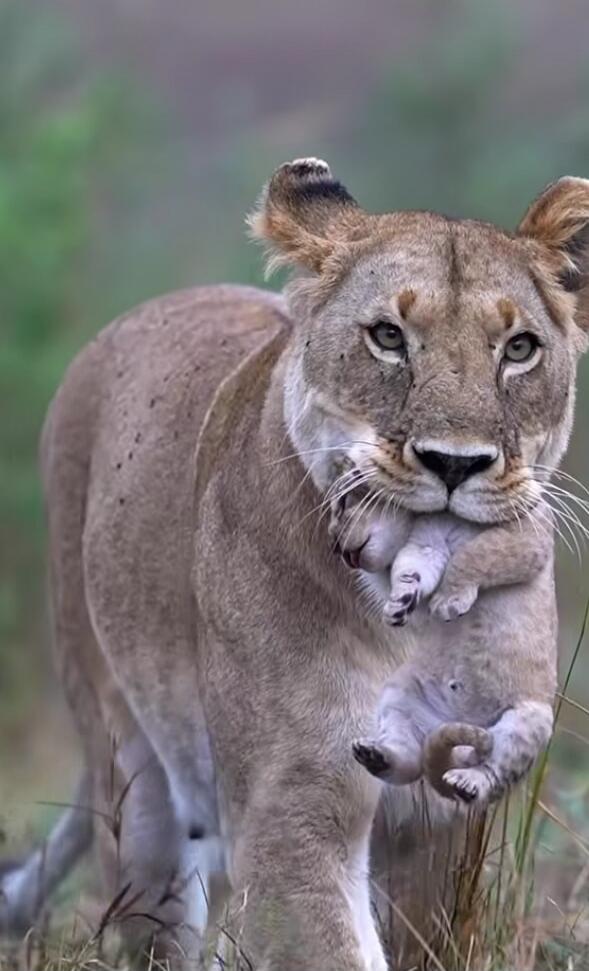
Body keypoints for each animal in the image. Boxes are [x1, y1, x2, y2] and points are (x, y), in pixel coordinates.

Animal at [2, 159, 588, 971]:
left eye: (520, 348)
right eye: (387, 337)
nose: (454, 463)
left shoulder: (441, 834)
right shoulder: (294, 800)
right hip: (132, 776)